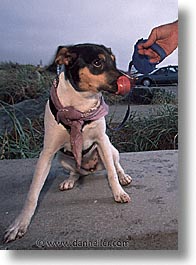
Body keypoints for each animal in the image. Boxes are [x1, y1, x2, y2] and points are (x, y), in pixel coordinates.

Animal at [4, 42, 132, 241]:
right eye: (97, 62)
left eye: (114, 61)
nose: (131, 80)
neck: (80, 106)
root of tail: (90, 169)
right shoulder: (47, 153)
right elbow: (33, 193)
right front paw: (19, 224)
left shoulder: (102, 140)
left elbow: (111, 173)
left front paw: (119, 192)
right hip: (62, 159)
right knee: (76, 172)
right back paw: (70, 181)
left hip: (111, 150)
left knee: (116, 165)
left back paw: (123, 177)